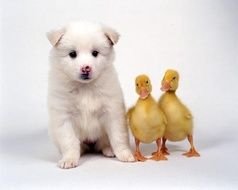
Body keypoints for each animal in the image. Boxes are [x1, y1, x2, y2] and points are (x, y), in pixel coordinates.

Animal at [46, 21, 135, 168]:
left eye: (95, 53)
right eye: (72, 54)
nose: (86, 68)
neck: (85, 87)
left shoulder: (112, 112)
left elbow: (118, 137)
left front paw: (125, 154)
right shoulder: (64, 116)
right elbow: (69, 141)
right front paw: (69, 159)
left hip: (102, 136)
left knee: (104, 143)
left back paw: (109, 150)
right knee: (80, 145)